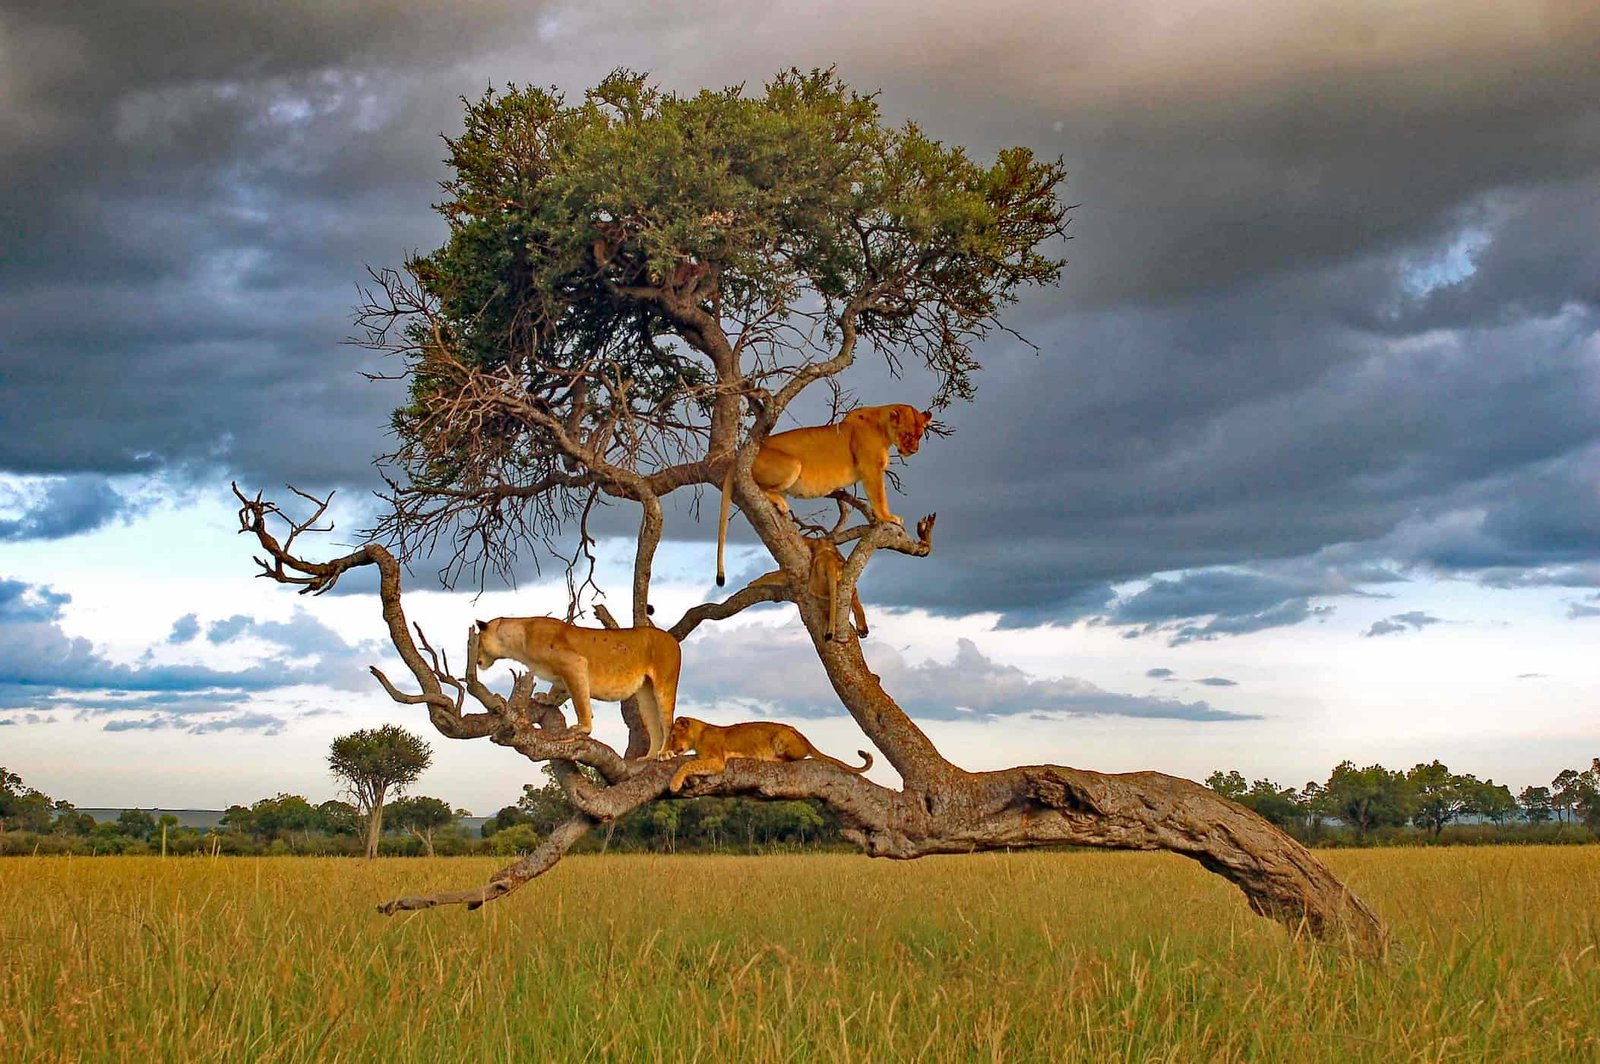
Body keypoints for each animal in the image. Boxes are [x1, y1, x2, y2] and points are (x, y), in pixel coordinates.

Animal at [473, 617, 680, 760]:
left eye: (478, 642)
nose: (476, 661)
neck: (518, 640)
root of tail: (671, 638)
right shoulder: (562, 677)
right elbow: (557, 691)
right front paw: (546, 699)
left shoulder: (575, 665)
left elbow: (580, 702)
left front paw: (583, 728)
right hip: (645, 695)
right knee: (654, 724)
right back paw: (649, 757)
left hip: (664, 685)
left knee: (667, 722)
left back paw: (665, 753)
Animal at [664, 716, 874, 792]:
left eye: (673, 736)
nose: (671, 747)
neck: (700, 733)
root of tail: (804, 737)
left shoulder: (718, 761)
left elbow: (689, 764)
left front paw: (674, 784)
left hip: (781, 736)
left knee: (794, 757)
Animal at [716, 403, 933, 586]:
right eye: (906, 434)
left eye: (920, 435)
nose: (914, 450)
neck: (882, 426)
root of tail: (739, 456)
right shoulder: (871, 470)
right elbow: (879, 496)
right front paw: (888, 517)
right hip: (792, 464)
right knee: (759, 487)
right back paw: (780, 503)